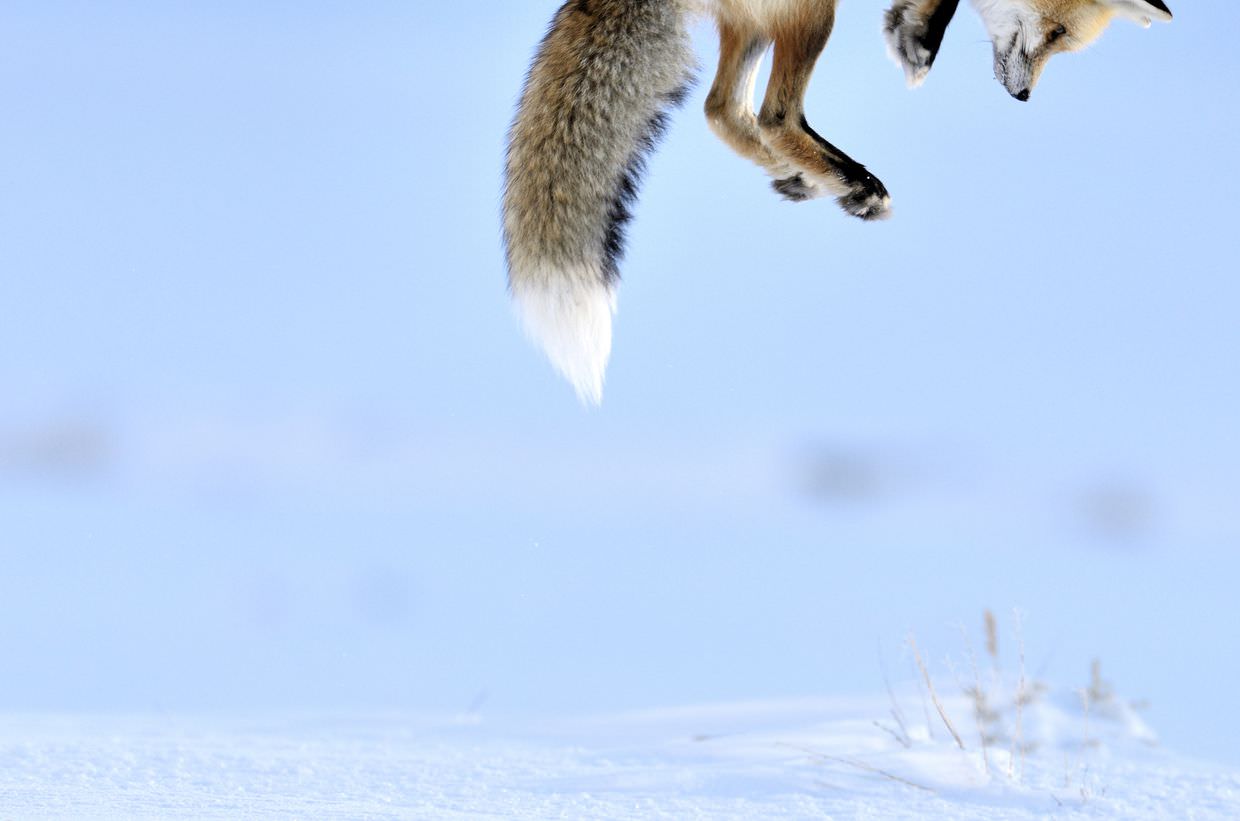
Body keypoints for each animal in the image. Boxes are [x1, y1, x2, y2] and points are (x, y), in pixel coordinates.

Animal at [500, 0, 1170, 404]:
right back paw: (845, 179)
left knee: (723, 111)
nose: (1024, 98)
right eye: (1056, 31)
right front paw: (919, 37)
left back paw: (817, 181)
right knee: (772, 114)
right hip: (812, 12)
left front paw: (911, 27)